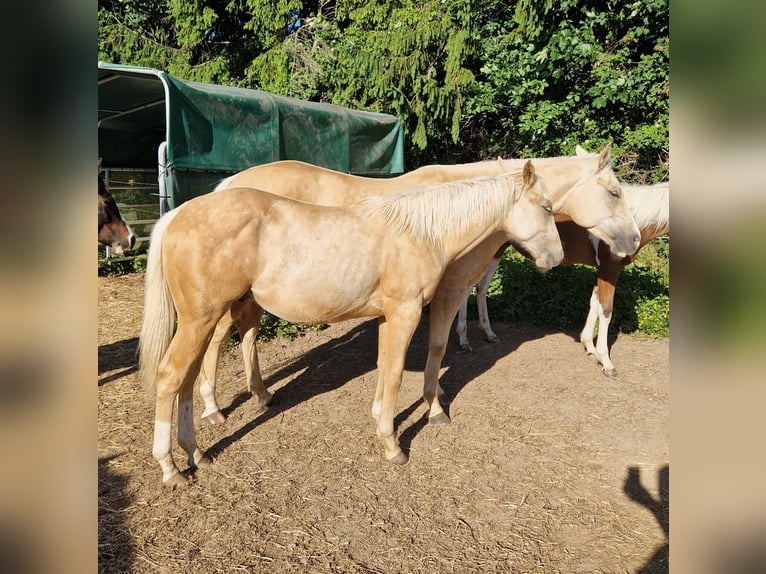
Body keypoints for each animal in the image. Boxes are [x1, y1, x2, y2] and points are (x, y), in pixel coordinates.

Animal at [139, 162, 564, 486]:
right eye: (546, 208)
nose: (557, 258)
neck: (422, 232)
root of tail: (177, 215)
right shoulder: (408, 312)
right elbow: (397, 372)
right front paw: (392, 445)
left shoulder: (388, 316)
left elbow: (383, 367)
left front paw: (379, 417)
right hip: (201, 319)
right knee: (171, 376)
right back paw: (171, 468)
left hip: (208, 318)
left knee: (190, 377)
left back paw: (197, 452)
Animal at [194, 144, 641, 427]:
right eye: (614, 191)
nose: (634, 242)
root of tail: (228, 187)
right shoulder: (447, 291)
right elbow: (436, 347)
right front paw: (434, 404)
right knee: (217, 339)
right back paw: (214, 408)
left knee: (245, 334)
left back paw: (260, 394)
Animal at [455, 181, 669, 377]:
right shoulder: (610, 270)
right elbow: (606, 310)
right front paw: (607, 363)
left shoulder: (601, 271)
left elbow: (594, 303)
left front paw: (589, 347)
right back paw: (464, 341)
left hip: (495, 252)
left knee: (481, 288)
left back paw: (488, 334)